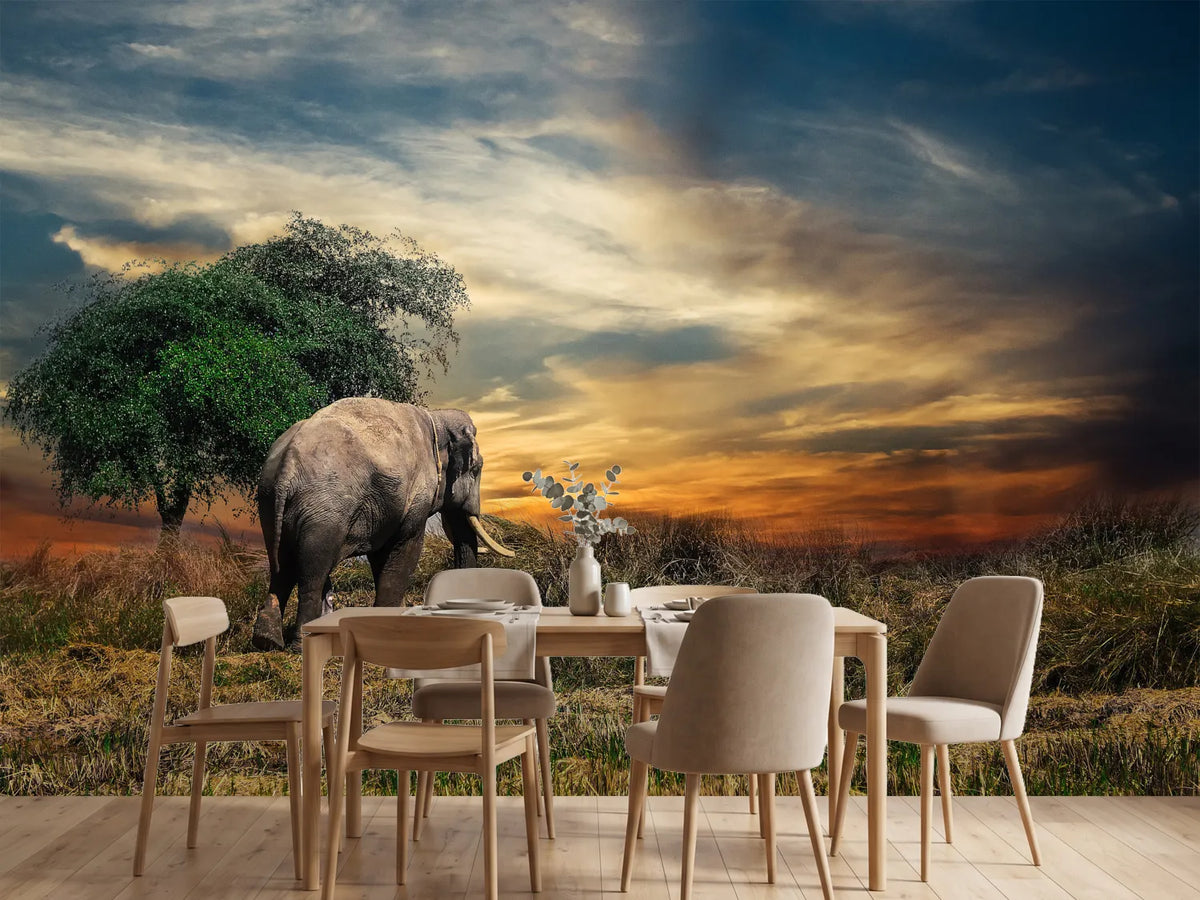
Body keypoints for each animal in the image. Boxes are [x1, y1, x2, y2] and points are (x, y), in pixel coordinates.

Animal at [250, 398, 514, 651]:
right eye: (477, 469)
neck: (436, 418)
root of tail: (287, 465)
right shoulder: (415, 495)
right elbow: (406, 546)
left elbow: (381, 555)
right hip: (324, 509)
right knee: (311, 570)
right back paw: (301, 643)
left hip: (269, 502)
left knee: (281, 566)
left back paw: (267, 641)